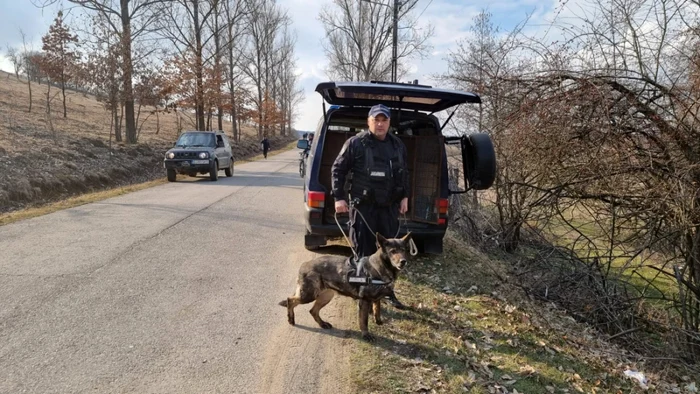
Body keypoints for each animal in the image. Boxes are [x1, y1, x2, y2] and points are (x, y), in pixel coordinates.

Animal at [278, 232, 410, 340]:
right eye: (393, 251)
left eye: (403, 250)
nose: (403, 261)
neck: (379, 267)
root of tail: (304, 264)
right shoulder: (364, 301)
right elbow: (364, 321)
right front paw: (366, 334)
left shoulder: (376, 299)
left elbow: (377, 310)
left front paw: (378, 322)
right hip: (309, 295)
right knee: (290, 300)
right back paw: (291, 319)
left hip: (325, 297)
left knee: (312, 311)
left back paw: (322, 324)